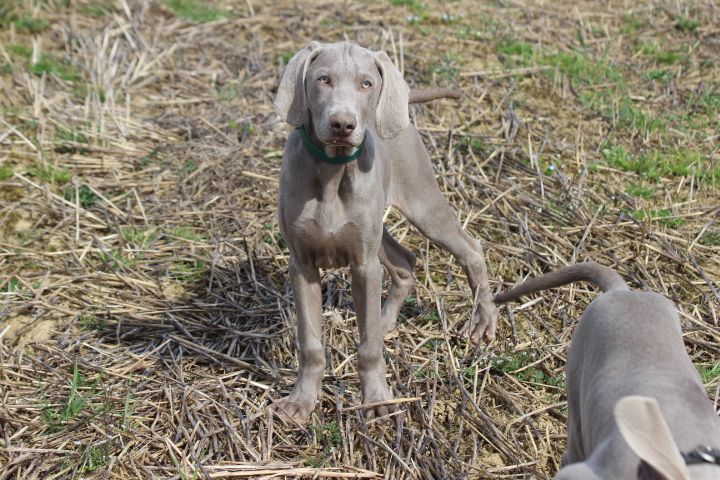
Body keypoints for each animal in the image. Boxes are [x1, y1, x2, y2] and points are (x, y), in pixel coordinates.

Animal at [272, 42, 498, 424]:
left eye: (366, 83)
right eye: (323, 79)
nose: (343, 124)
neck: (332, 170)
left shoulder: (363, 265)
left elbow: (369, 347)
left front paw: (377, 399)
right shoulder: (302, 265)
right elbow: (310, 343)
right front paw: (302, 400)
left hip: (423, 205)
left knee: (470, 248)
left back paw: (482, 318)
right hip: (378, 231)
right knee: (405, 262)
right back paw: (385, 318)